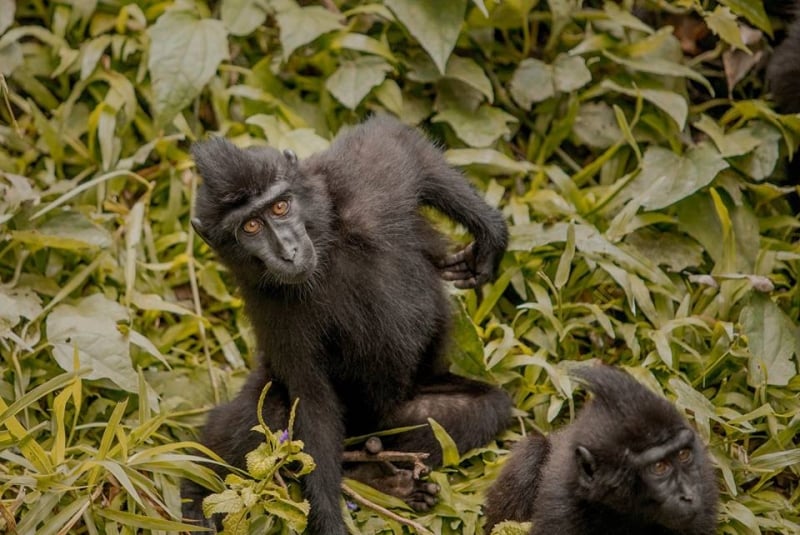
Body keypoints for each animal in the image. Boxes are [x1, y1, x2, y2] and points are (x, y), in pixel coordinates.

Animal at [182, 115, 512, 532]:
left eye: (280, 206)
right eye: (251, 227)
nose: (289, 251)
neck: (324, 251)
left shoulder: (362, 185)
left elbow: (395, 140)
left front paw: (490, 234)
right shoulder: (273, 308)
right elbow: (311, 399)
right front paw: (329, 518)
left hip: (395, 415)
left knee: (487, 407)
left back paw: (380, 477)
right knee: (267, 413)